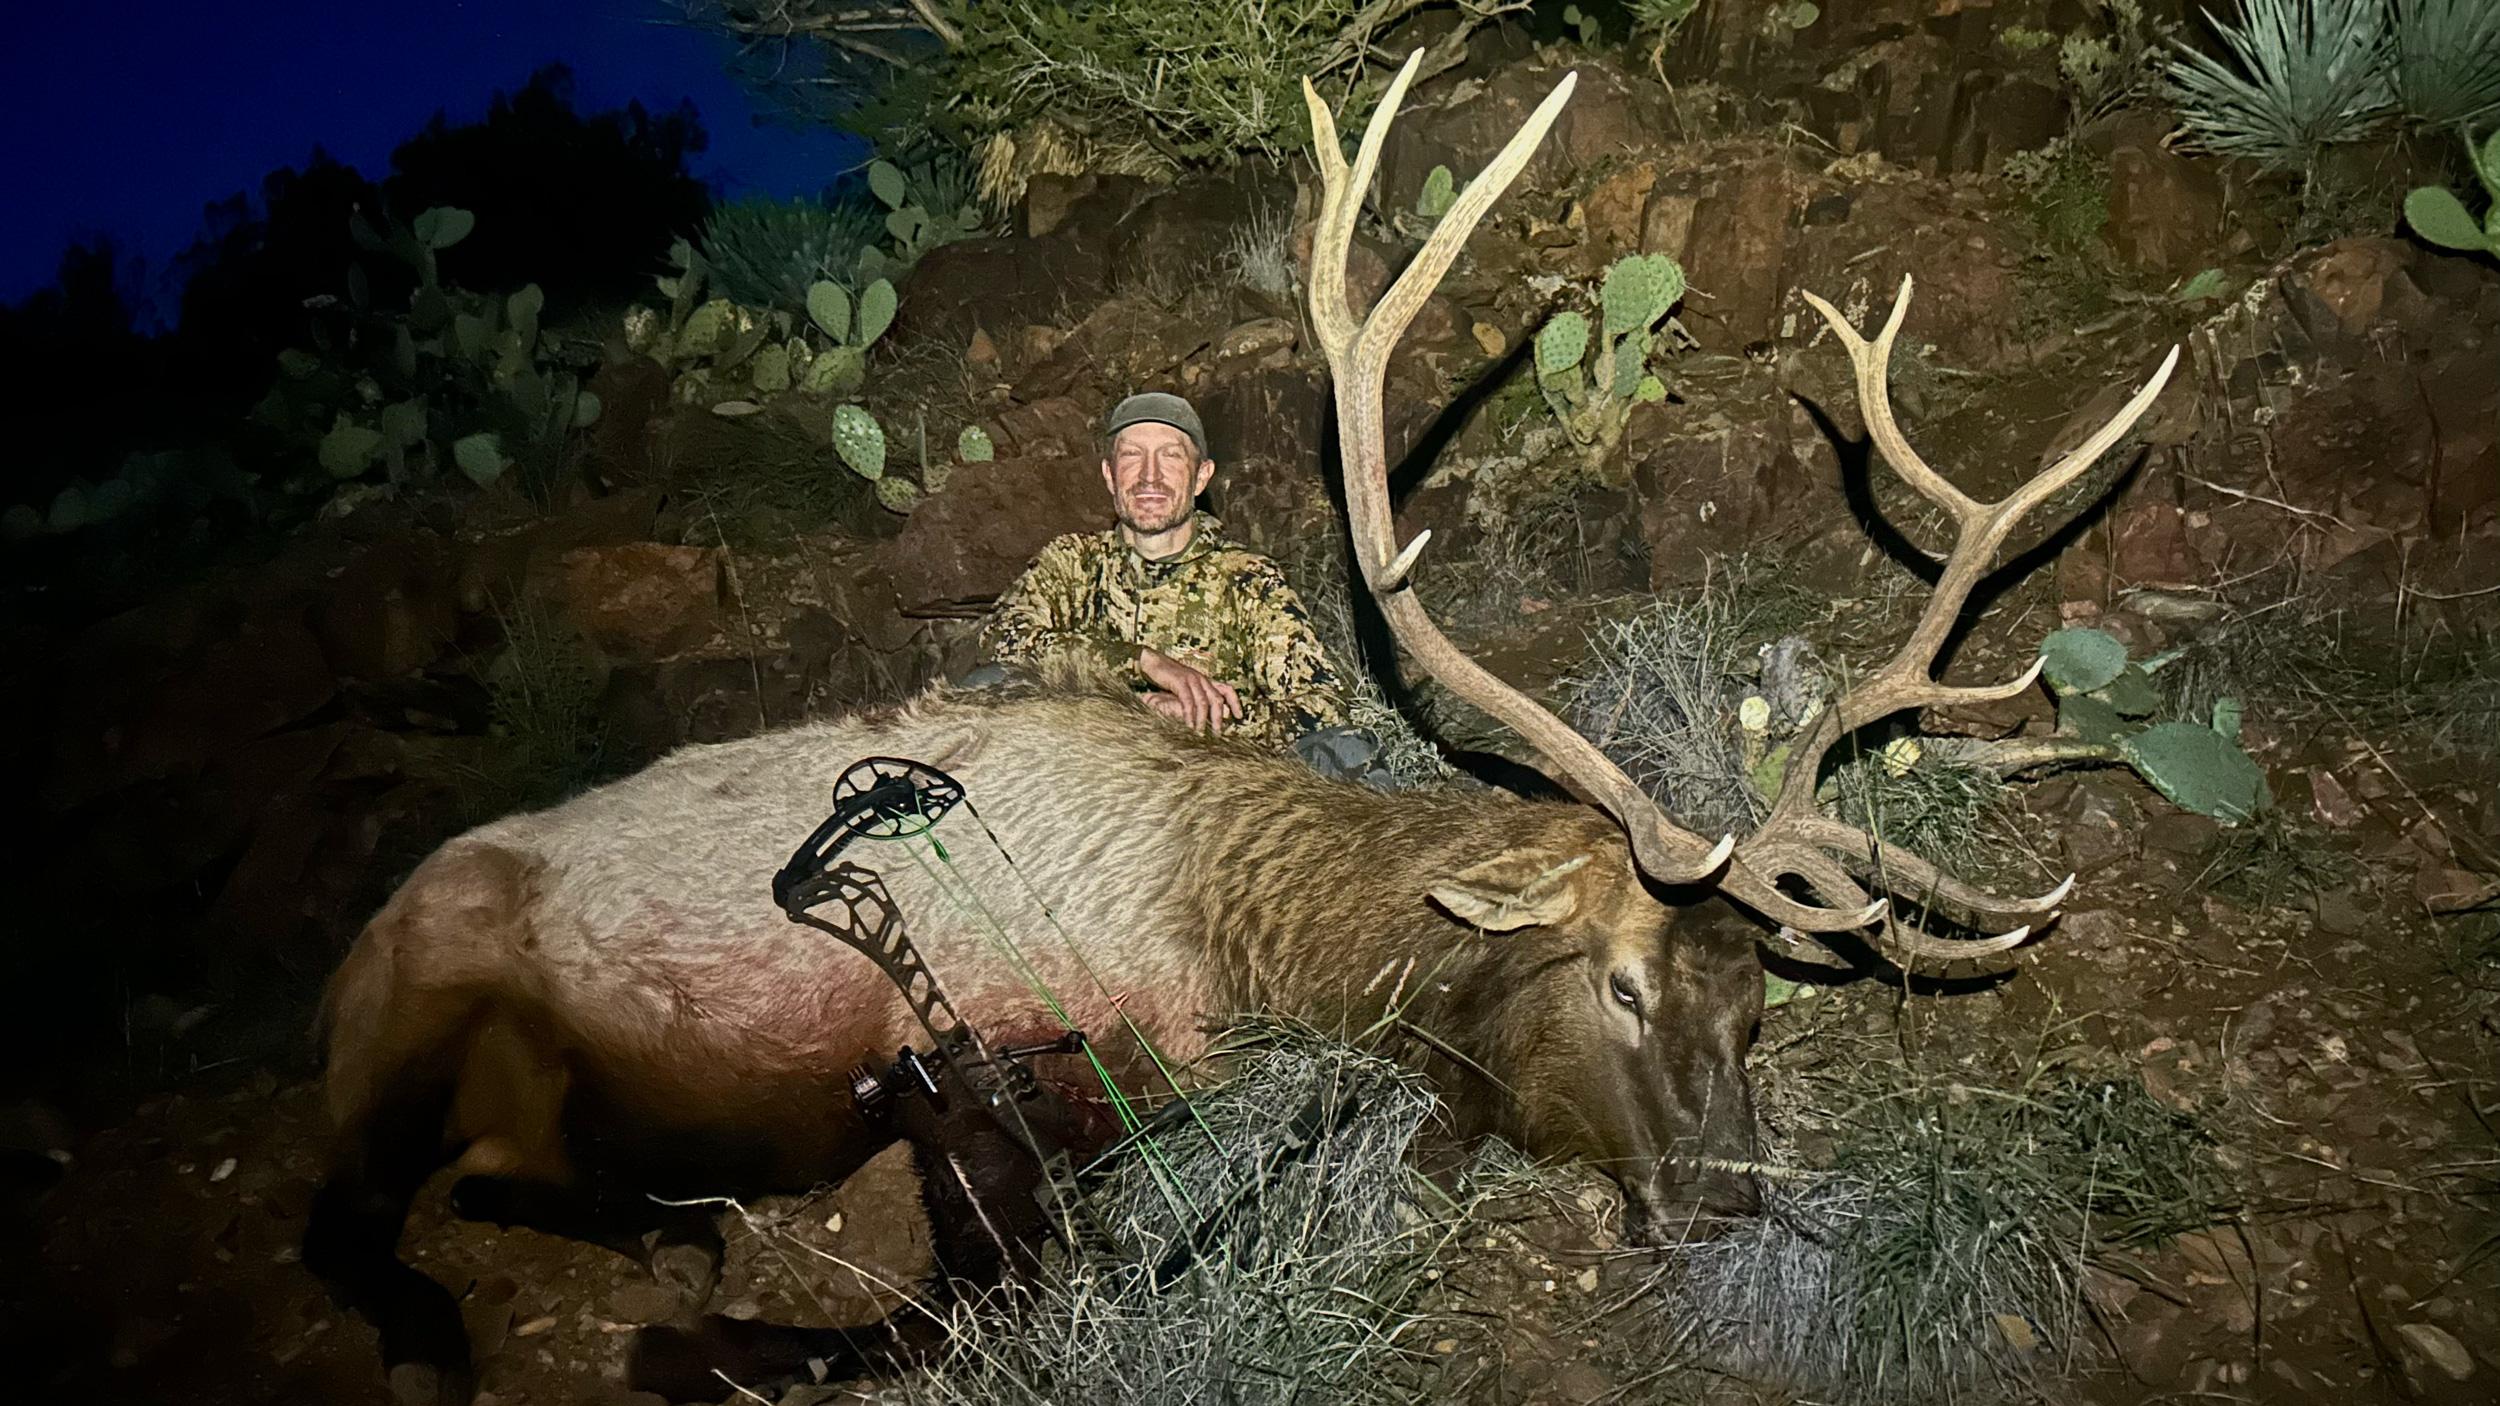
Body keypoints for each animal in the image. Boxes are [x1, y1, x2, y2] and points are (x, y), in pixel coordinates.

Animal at [300, 53, 2178, 1406]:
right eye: (1624, 984)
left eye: (1761, 1006)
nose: (1727, 1196)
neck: (1246, 923)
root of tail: (363, 942)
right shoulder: (983, 1065)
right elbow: (1000, 1294)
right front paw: (716, 1349)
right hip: (403, 1017)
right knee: (343, 1220)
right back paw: (493, 1317)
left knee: (498, 1178)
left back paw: (659, 1237)